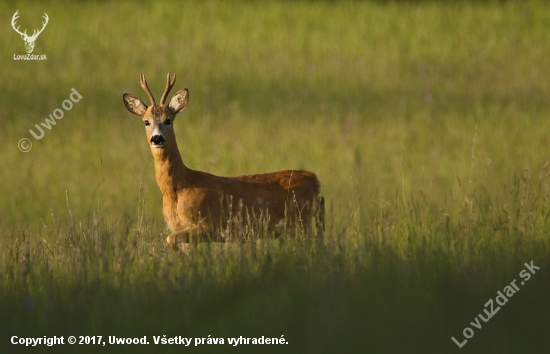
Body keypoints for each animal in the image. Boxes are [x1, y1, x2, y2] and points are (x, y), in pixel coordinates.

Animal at [124, 73, 324, 250]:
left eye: (168, 120)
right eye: (146, 121)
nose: (157, 139)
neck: (179, 188)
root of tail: (315, 180)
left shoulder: (210, 226)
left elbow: (170, 239)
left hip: (299, 223)